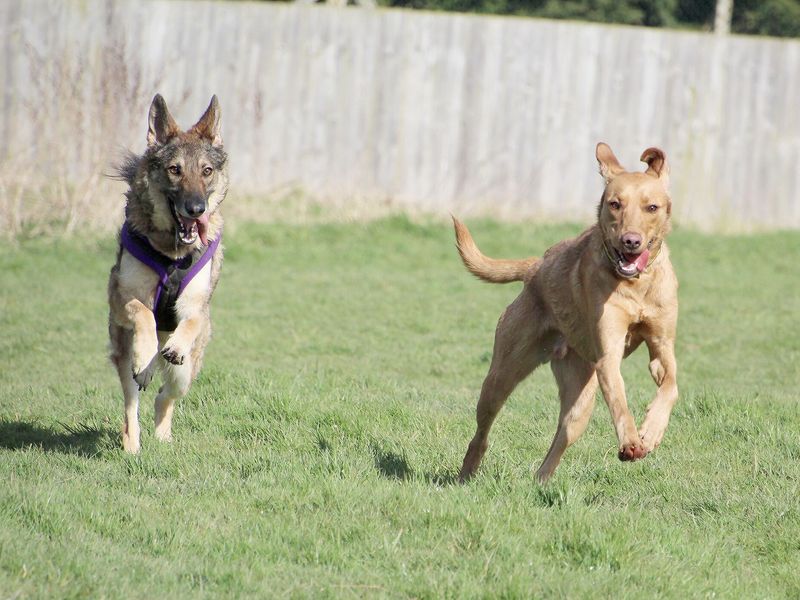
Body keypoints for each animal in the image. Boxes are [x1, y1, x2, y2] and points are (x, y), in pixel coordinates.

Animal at [104, 94, 227, 452]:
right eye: (175, 170)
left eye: (206, 171)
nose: (196, 209)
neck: (173, 255)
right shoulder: (121, 295)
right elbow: (144, 312)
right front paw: (146, 354)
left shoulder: (196, 305)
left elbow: (192, 320)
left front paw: (175, 345)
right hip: (123, 358)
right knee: (132, 404)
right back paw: (133, 446)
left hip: (187, 372)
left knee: (166, 395)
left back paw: (162, 435)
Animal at [454, 142, 680, 482]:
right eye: (615, 204)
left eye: (651, 207)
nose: (630, 241)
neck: (636, 285)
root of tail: (535, 267)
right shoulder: (608, 355)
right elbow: (620, 401)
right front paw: (631, 442)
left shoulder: (661, 346)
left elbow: (671, 386)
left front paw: (650, 432)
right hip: (503, 373)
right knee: (483, 428)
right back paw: (467, 472)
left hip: (580, 396)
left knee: (562, 436)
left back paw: (540, 481)